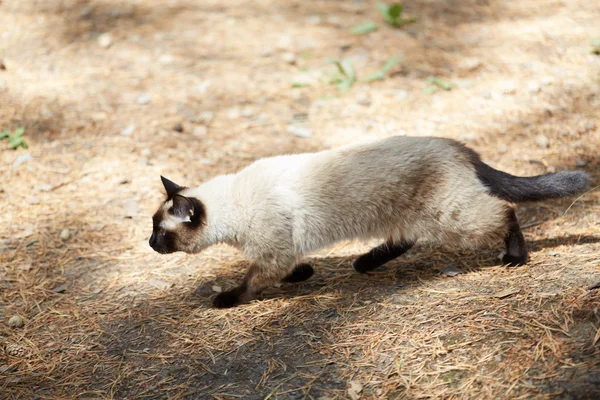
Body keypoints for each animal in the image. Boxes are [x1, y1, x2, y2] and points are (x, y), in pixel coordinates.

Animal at [148, 136, 588, 308]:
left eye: (158, 231)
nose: (149, 245)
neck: (234, 204)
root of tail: (455, 145)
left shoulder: (273, 251)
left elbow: (251, 282)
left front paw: (225, 299)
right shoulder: (282, 251)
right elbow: (289, 269)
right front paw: (305, 275)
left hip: (454, 219)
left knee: (505, 212)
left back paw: (515, 257)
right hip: (411, 214)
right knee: (405, 240)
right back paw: (364, 263)